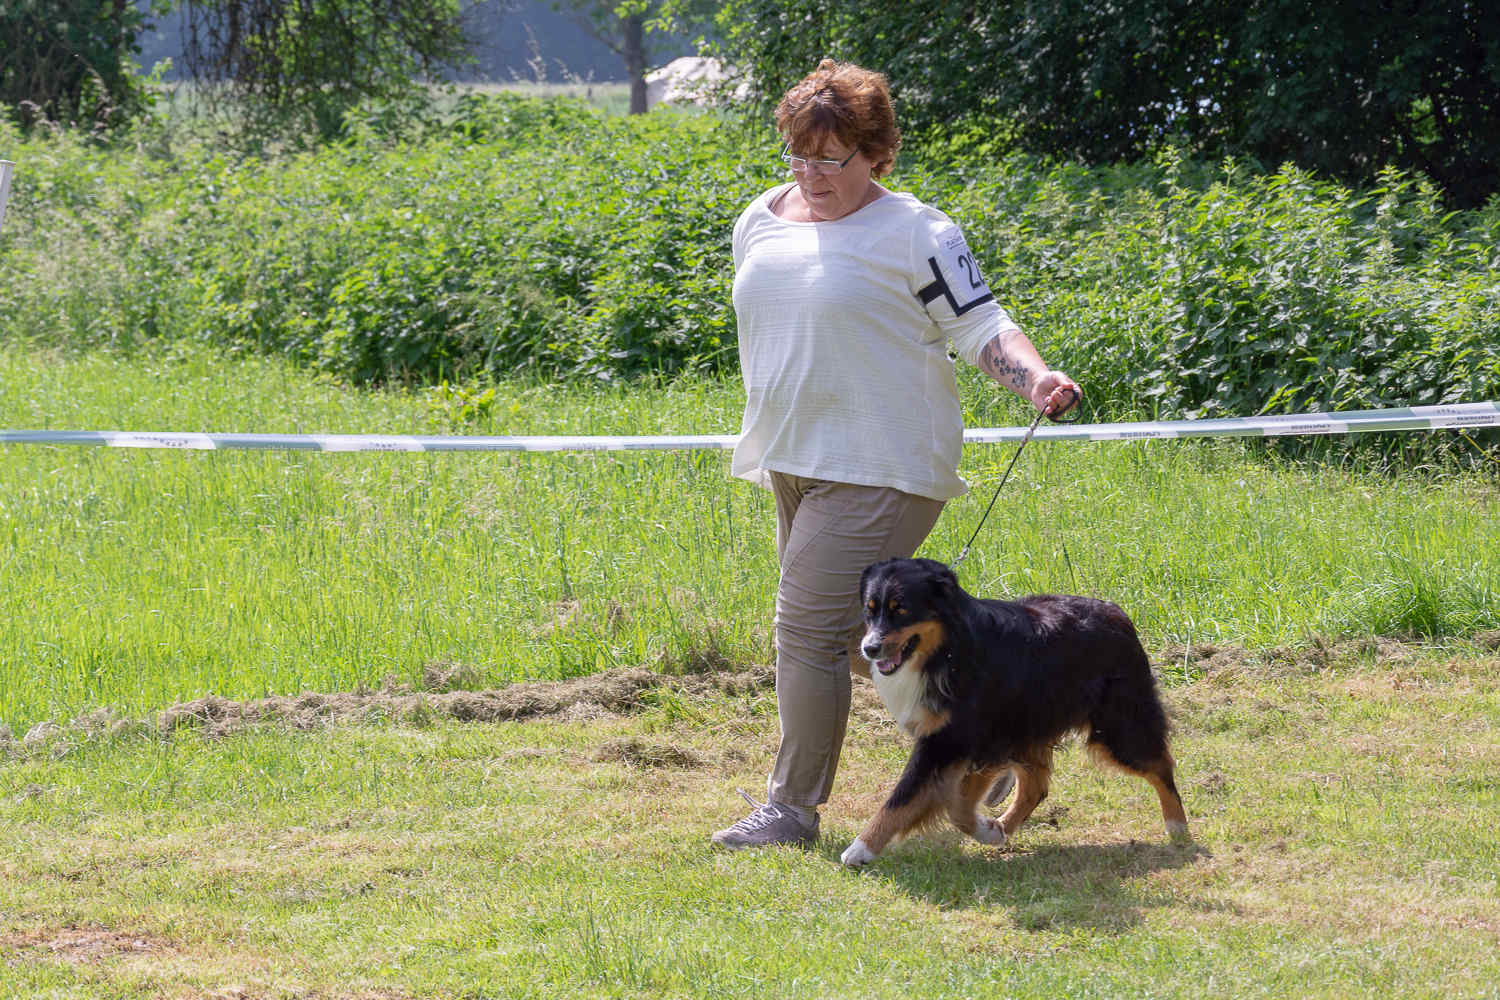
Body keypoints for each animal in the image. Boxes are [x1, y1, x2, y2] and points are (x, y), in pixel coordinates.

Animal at [846, 554, 1182, 869]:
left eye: (902, 610)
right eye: (869, 610)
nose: (869, 649)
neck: (948, 650)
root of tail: (1117, 611)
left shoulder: (954, 741)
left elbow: (909, 799)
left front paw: (860, 849)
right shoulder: (976, 742)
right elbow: (955, 803)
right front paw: (989, 829)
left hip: (1117, 727)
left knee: (1160, 764)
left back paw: (1177, 826)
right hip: (1031, 725)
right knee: (1036, 787)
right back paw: (1005, 826)